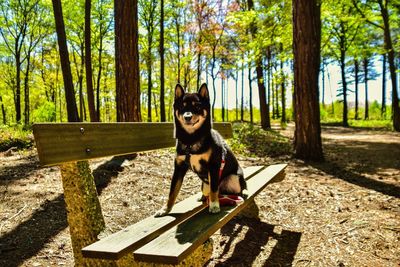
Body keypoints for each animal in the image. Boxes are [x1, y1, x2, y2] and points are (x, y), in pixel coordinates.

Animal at [155, 82, 245, 217]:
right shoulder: (179, 168)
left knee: (228, 191)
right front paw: (165, 209)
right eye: (182, 106)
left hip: (233, 179)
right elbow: (172, 191)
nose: (187, 117)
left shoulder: (213, 166)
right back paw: (204, 197)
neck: (191, 140)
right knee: (210, 190)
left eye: (197, 106)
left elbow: (214, 189)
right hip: (205, 183)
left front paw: (214, 205)